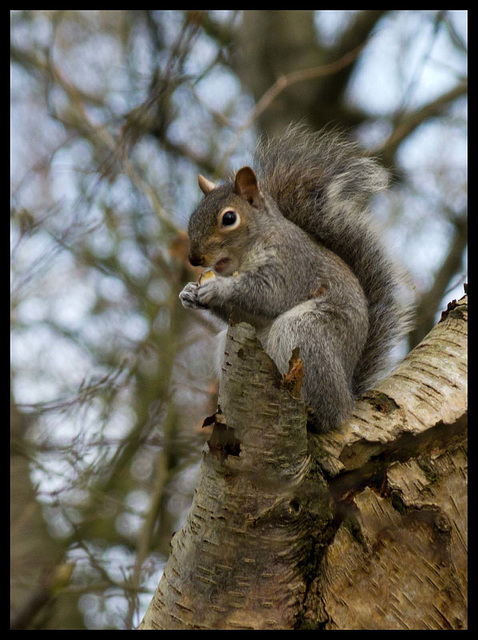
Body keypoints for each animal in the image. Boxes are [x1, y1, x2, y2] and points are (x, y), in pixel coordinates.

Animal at [179, 124, 410, 436]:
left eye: (229, 218)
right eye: (193, 216)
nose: (194, 258)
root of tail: (348, 395)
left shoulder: (292, 266)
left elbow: (269, 295)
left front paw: (218, 288)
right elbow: (241, 313)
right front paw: (189, 292)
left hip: (307, 333)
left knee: (327, 409)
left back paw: (315, 414)